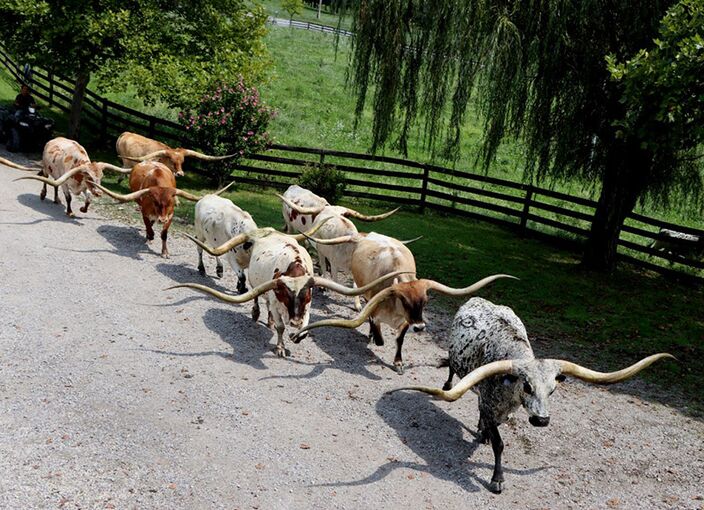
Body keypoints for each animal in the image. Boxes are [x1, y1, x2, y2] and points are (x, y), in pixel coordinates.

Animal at [171, 221, 409, 358]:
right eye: (285, 294)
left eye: (305, 295)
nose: (293, 321)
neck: (294, 270)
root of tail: (265, 233)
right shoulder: (276, 300)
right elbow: (279, 327)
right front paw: (279, 346)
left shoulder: (307, 307)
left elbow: (305, 326)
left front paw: (297, 335)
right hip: (257, 284)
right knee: (258, 298)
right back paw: (258, 313)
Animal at [292, 231, 514, 373]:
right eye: (405, 301)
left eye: (425, 302)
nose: (421, 327)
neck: (394, 308)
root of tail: (367, 235)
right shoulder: (376, 312)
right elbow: (379, 335)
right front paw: (375, 338)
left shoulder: (408, 321)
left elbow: (399, 340)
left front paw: (398, 363)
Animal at [390, 297, 674, 493]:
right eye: (527, 386)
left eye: (553, 389)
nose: (541, 420)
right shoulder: (490, 404)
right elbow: (499, 443)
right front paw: (497, 480)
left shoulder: (498, 409)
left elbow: (490, 427)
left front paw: (483, 435)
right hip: (454, 357)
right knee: (451, 367)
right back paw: (449, 385)